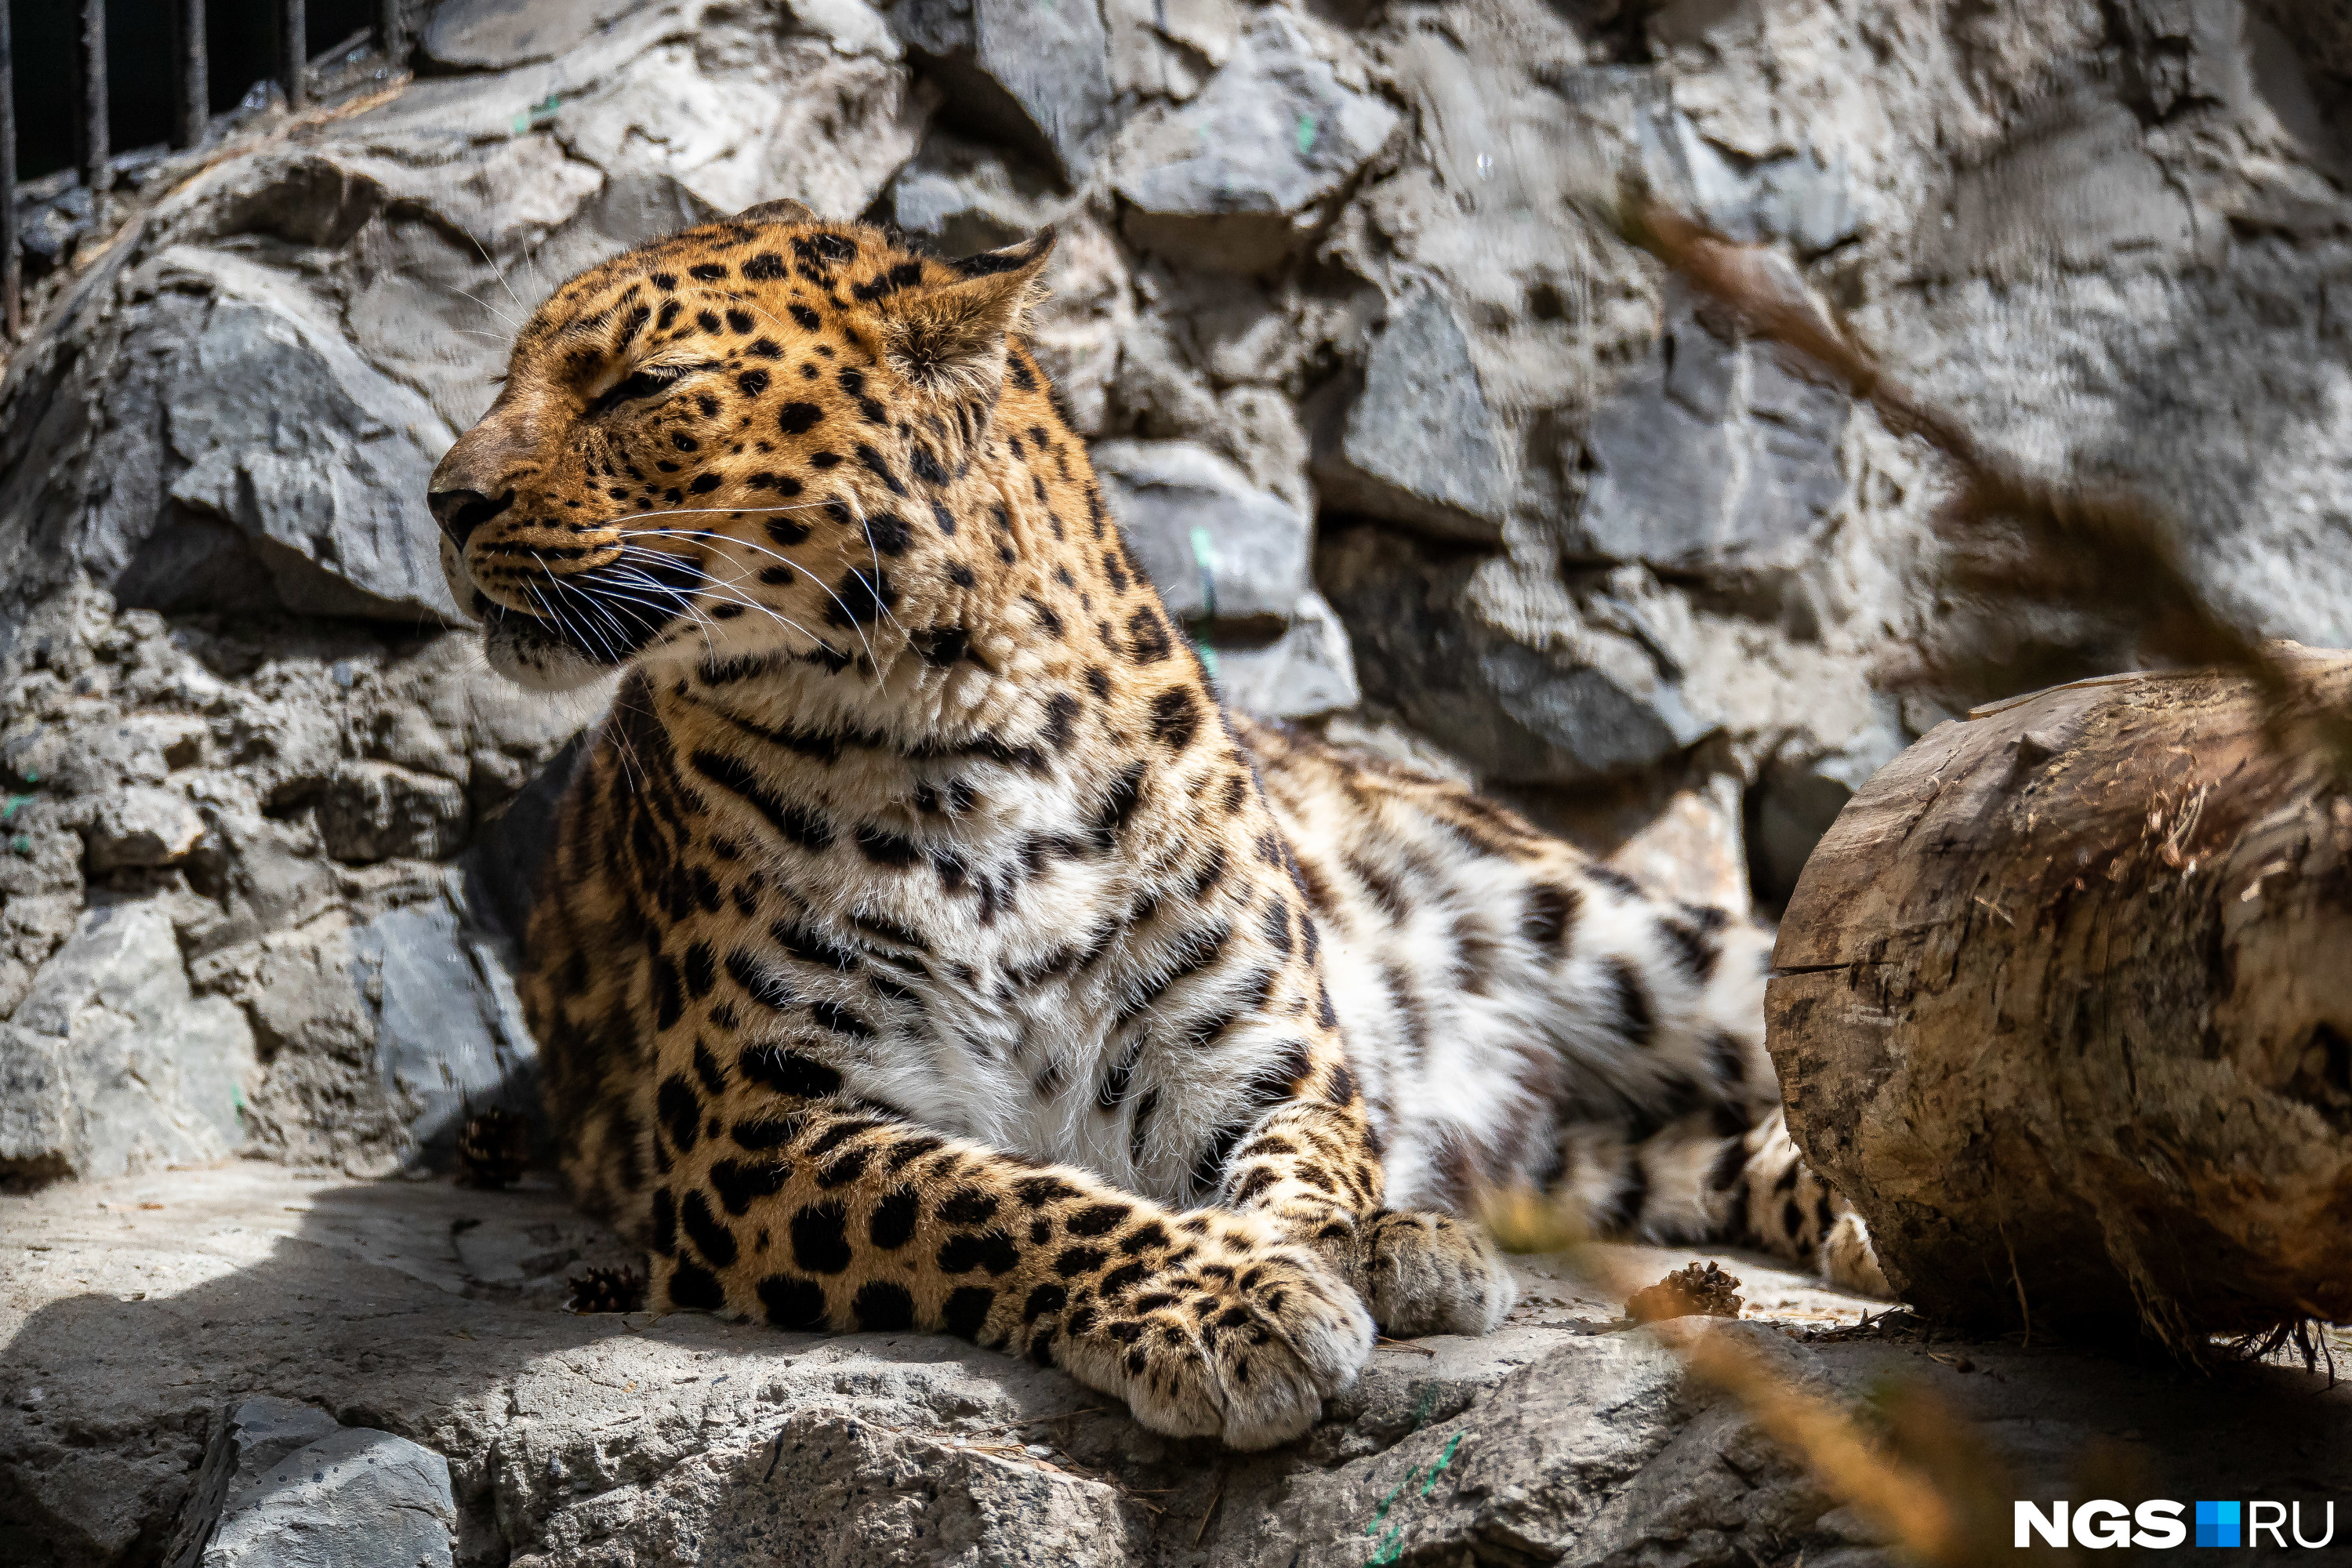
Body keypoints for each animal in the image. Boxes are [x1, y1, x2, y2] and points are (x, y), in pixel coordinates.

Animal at [428, 201, 1891, 1457]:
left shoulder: (1252, 1054)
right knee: (1711, 1147)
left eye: (641, 385)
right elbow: (998, 1198)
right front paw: (1232, 1301)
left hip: (1624, 939)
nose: (445, 500)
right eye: (508, 382)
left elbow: (1306, 1167)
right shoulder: (757, 1127)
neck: (943, 730)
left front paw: (1353, 1247)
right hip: (1589, 1158)